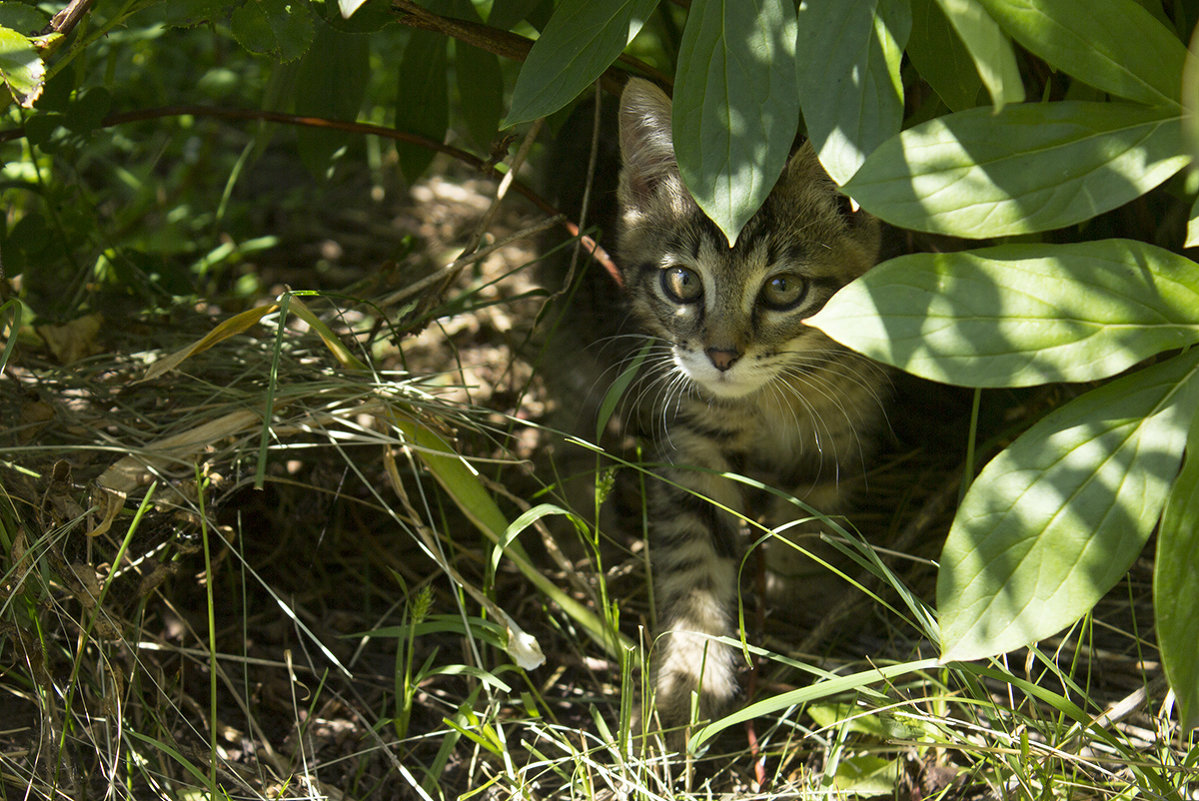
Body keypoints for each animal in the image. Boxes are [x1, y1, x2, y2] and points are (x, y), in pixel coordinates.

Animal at [613, 79, 887, 724]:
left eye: (783, 288)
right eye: (683, 281)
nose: (721, 354)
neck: (769, 401)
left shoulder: (838, 431)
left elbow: (812, 514)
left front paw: (799, 590)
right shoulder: (693, 445)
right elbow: (693, 551)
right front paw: (691, 666)